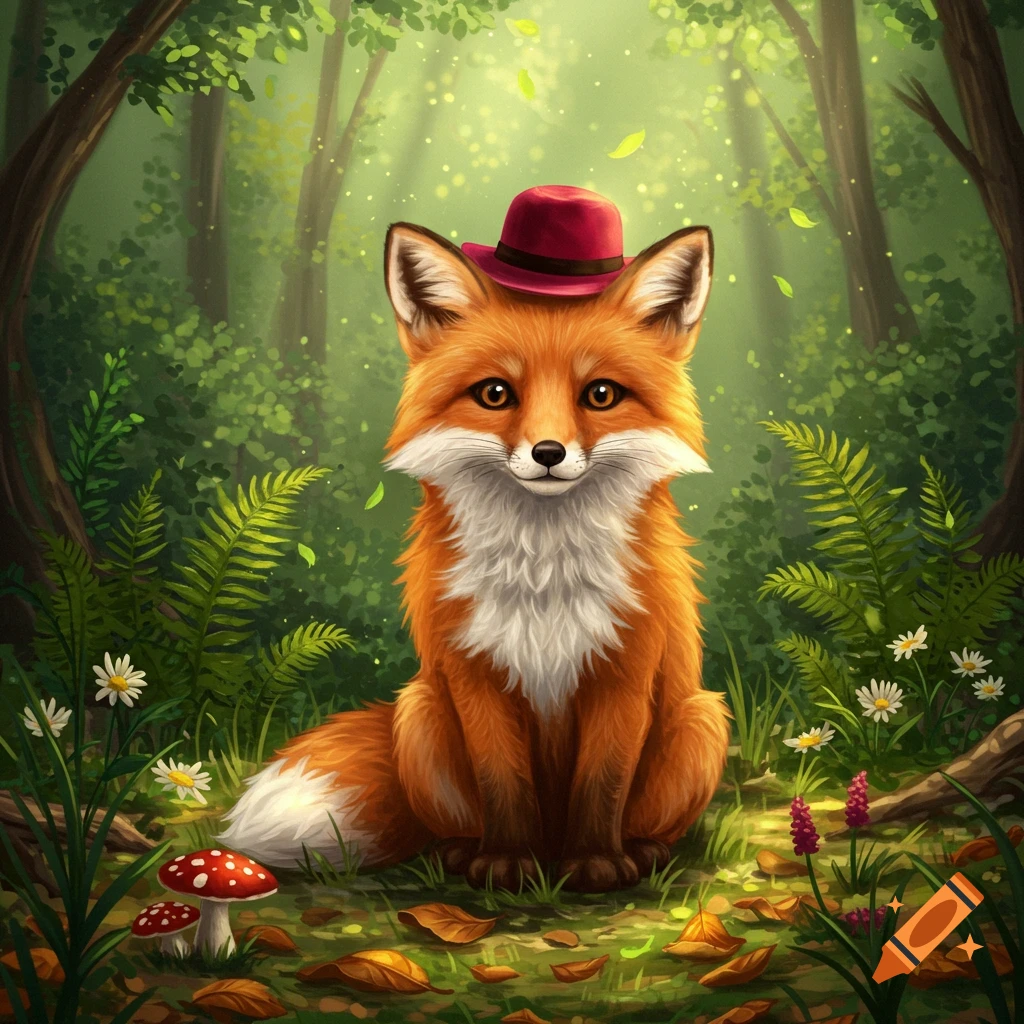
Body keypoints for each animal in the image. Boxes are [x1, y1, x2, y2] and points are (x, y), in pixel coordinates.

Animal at [220, 192, 730, 893]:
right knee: (451, 822)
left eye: (600, 394)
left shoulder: (624, 670)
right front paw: (507, 862)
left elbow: (602, 783)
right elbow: (502, 781)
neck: (543, 573)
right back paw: (464, 852)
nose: (549, 453)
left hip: (700, 721)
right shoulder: (475, 672)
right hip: (419, 712)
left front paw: (595, 862)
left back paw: (640, 849)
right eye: (495, 393)